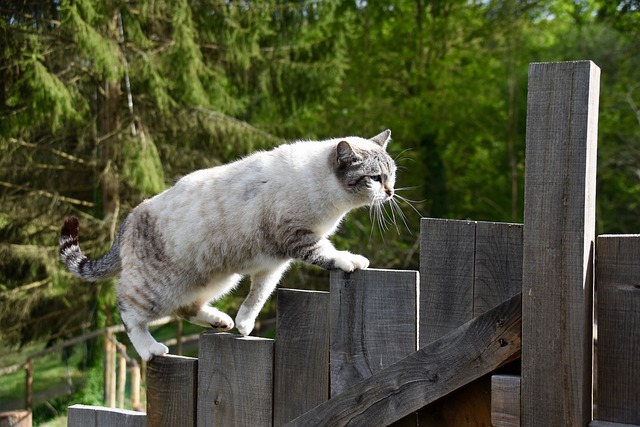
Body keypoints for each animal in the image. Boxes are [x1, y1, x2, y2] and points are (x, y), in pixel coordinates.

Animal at [61, 130, 400, 362]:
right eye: (374, 177)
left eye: (392, 174)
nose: (391, 192)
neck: (329, 196)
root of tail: (128, 219)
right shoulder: (299, 238)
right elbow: (329, 254)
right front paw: (351, 260)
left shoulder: (272, 264)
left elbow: (259, 295)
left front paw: (244, 324)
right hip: (156, 289)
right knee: (129, 312)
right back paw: (151, 349)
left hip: (217, 279)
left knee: (186, 308)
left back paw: (221, 321)